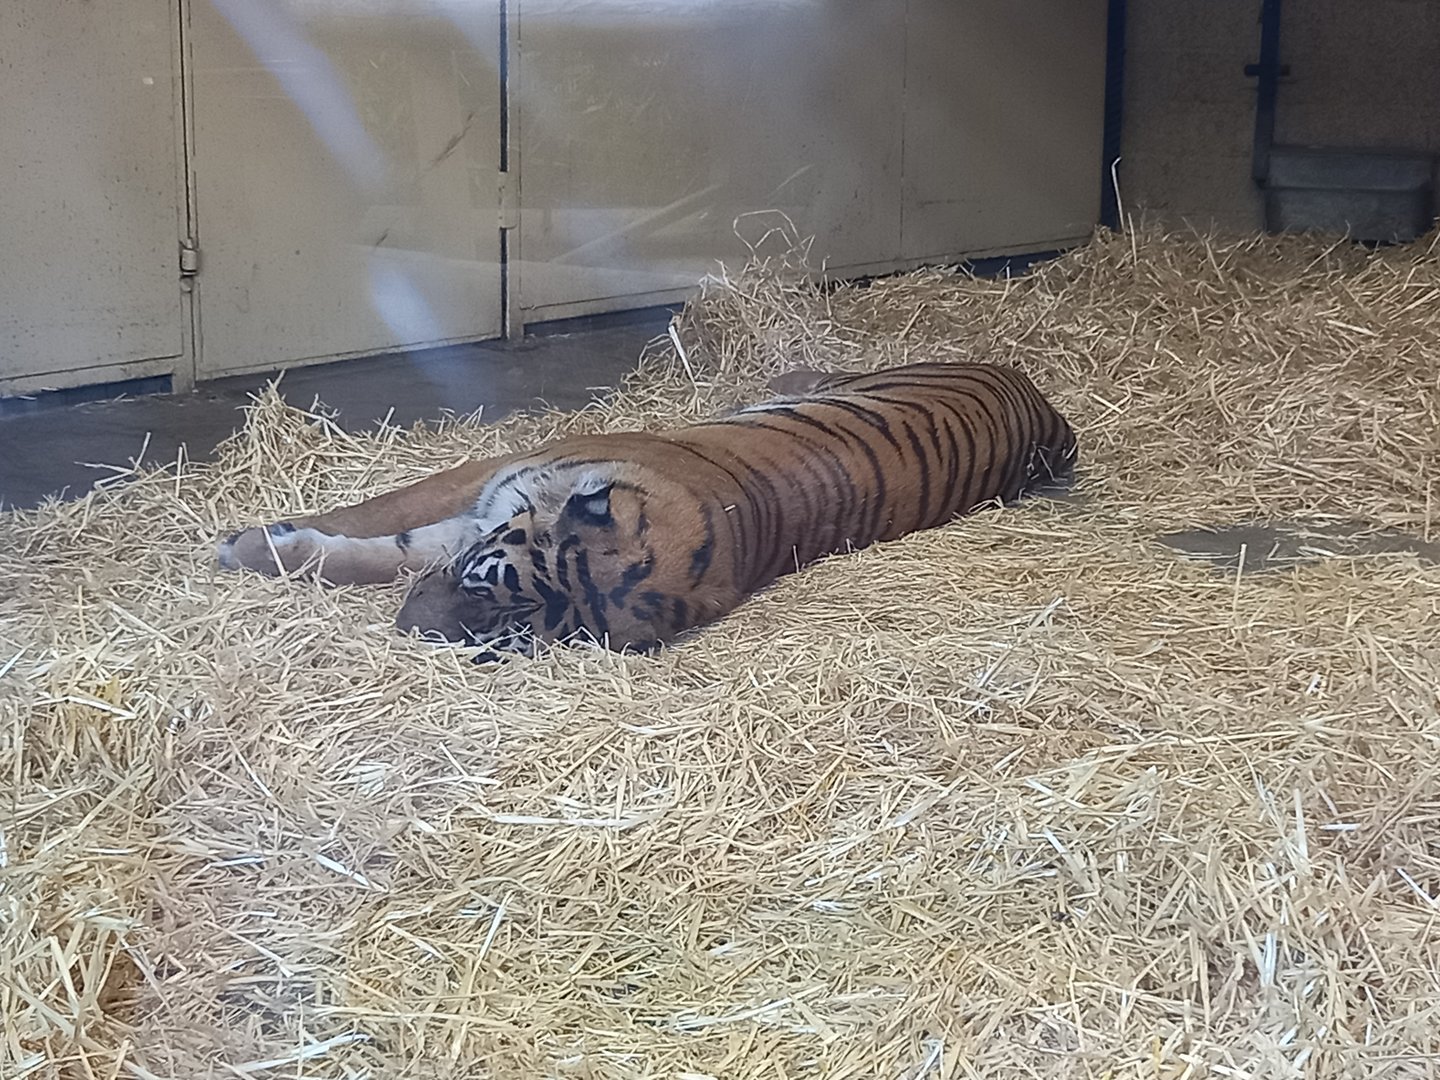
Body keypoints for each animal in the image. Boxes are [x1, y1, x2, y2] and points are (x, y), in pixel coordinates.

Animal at [217, 361, 1078, 660]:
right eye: (479, 585)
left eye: (513, 636)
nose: (406, 632)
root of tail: (1043, 410)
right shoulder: (489, 478)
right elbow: (378, 516)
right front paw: (253, 542)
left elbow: (385, 546)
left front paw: (256, 546)